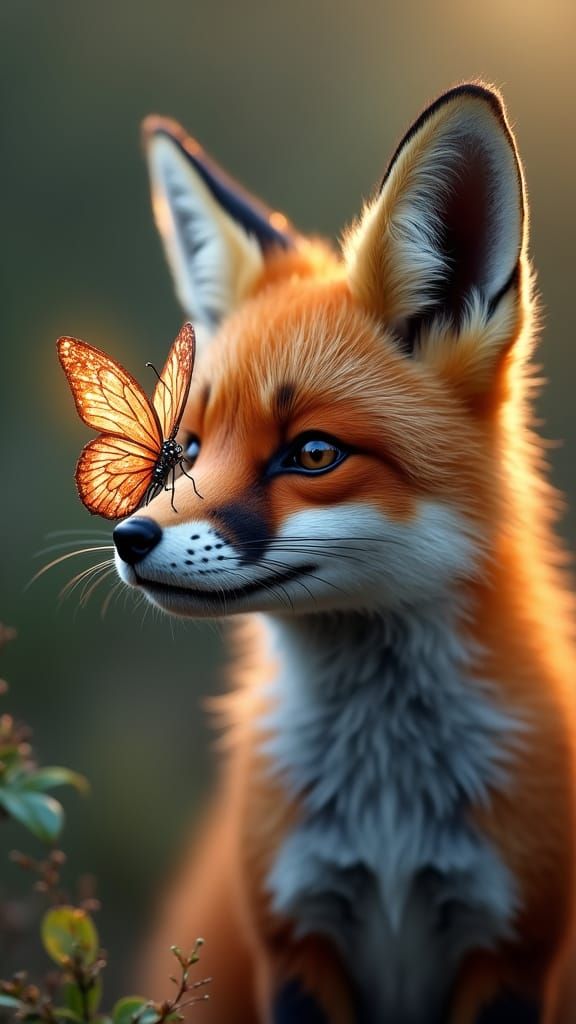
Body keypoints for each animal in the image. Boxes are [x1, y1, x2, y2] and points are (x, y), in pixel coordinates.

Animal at [109, 83, 576, 1023]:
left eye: (314, 454)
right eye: (186, 449)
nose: (130, 538)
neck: (388, 817)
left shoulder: (515, 945)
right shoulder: (296, 937)